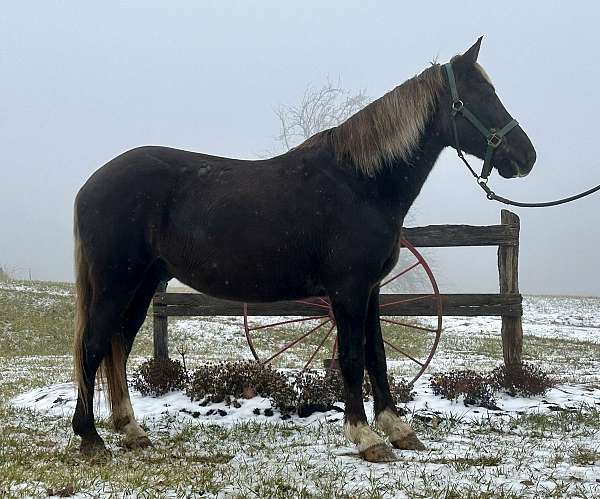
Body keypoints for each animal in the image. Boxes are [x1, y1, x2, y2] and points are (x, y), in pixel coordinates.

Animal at [72, 39, 536, 464]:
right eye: (481, 96)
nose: (527, 157)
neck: (359, 183)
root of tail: (92, 184)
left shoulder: (370, 290)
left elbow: (377, 355)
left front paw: (398, 430)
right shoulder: (347, 290)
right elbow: (351, 357)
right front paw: (366, 438)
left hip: (143, 283)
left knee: (117, 343)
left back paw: (131, 431)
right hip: (116, 283)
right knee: (94, 344)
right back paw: (90, 437)